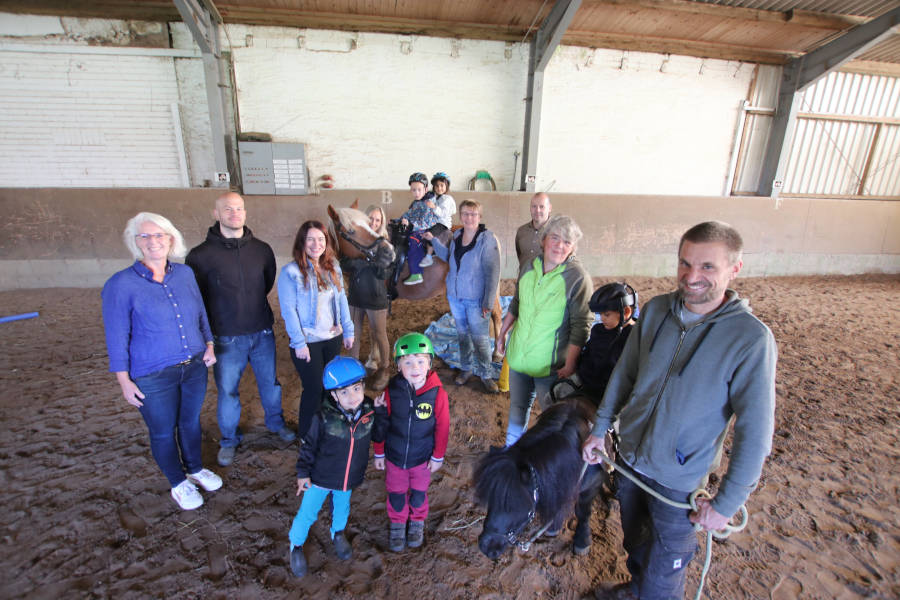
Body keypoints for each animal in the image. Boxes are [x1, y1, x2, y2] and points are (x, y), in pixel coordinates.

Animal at [326, 203, 506, 350]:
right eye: (350, 230)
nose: (388, 252)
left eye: (368, 224)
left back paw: (497, 352)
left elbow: (374, 332)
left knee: (496, 314)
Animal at [472, 396, 612, 560]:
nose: (486, 547)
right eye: (491, 498)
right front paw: (554, 525)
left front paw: (582, 541)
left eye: (517, 505)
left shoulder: (592, 484)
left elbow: (583, 512)